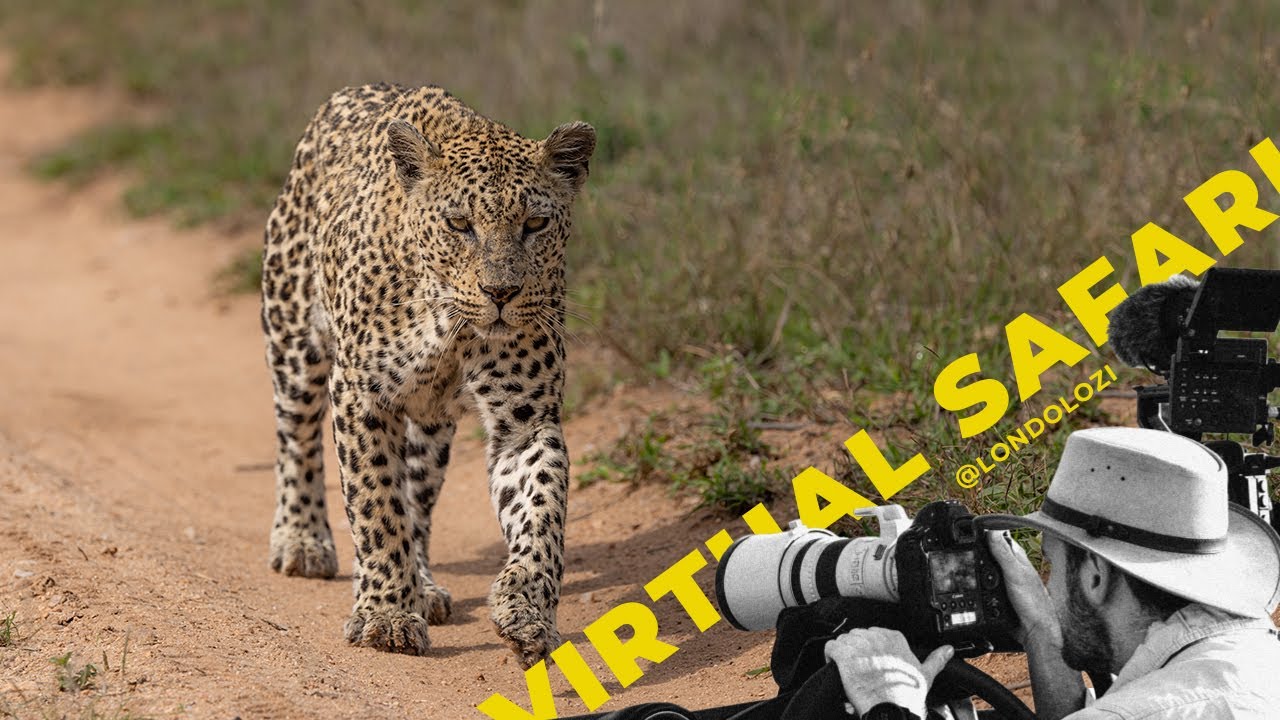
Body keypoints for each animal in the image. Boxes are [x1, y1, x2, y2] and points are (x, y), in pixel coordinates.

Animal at [260, 83, 594, 669]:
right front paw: (388, 615)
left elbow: (542, 513)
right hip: (293, 340)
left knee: (416, 497)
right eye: (459, 224)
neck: (451, 325)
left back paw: (426, 586)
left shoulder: (525, 422)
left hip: (430, 428)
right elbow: (375, 506)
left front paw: (527, 612)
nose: (501, 293)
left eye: (534, 225)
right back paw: (302, 540)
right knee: (296, 442)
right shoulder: (361, 397)